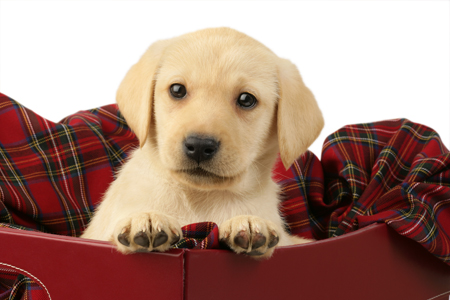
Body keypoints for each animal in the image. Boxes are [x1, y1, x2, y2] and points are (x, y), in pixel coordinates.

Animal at [81, 28, 324, 258]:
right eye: (177, 89)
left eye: (246, 99)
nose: (199, 146)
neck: (199, 198)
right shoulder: (95, 234)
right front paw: (146, 217)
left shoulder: (288, 241)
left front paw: (249, 222)